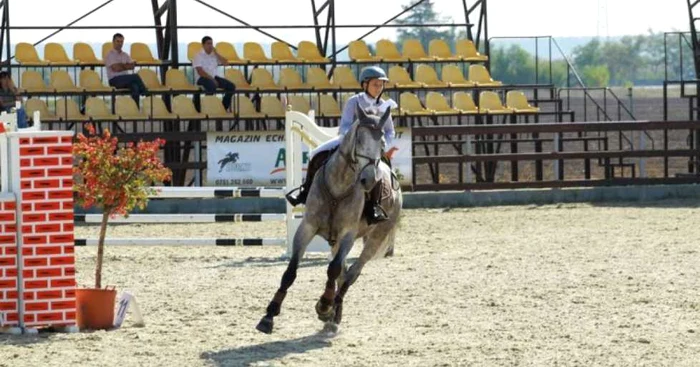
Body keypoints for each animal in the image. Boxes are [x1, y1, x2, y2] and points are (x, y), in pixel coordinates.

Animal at [256, 105, 400, 334]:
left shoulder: (348, 234)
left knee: (350, 275)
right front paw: (269, 315)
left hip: (375, 238)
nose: (370, 180)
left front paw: (324, 305)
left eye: (382, 143)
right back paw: (334, 314)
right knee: (342, 273)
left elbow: (332, 270)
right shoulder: (307, 228)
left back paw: (332, 311)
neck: (340, 185)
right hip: (336, 242)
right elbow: (290, 271)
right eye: (360, 139)